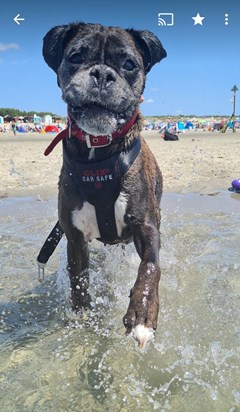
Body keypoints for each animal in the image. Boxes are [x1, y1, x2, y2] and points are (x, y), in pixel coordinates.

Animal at [42, 22, 167, 348]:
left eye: (129, 64)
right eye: (75, 56)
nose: (101, 74)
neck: (98, 152)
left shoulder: (146, 226)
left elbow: (150, 266)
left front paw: (142, 313)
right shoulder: (74, 239)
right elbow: (78, 282)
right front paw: (83, 318)